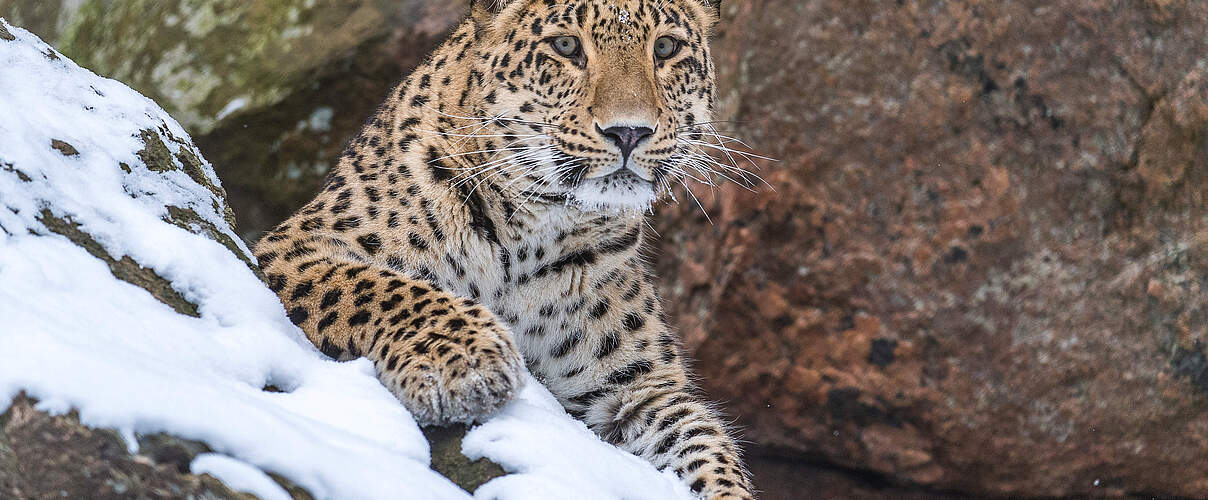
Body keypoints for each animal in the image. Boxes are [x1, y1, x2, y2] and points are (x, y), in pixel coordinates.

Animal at [253, 1, 757, 498]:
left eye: (666, 48)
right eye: (566, 46)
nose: (629, 132)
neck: (535, 232)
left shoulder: (636, 391)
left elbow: (706, 449)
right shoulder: (298, 245)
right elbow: (384, 288)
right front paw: (465, 363)